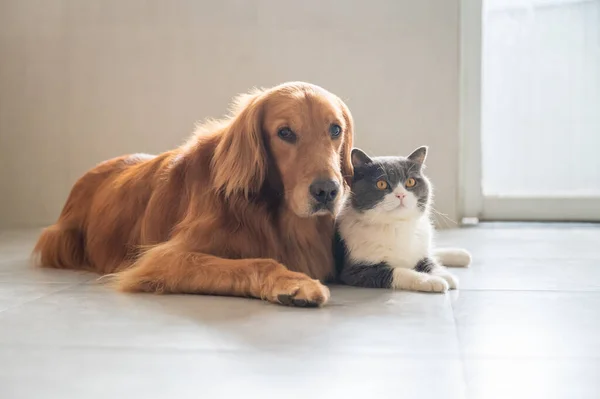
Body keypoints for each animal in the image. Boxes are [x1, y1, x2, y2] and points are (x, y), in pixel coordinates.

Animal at [32, 80, 352, 306]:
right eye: (285, 133)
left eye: (335, 129)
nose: (327, 191)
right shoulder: (161, 259)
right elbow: (257, 261)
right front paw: (293, 282)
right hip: (61, 240)